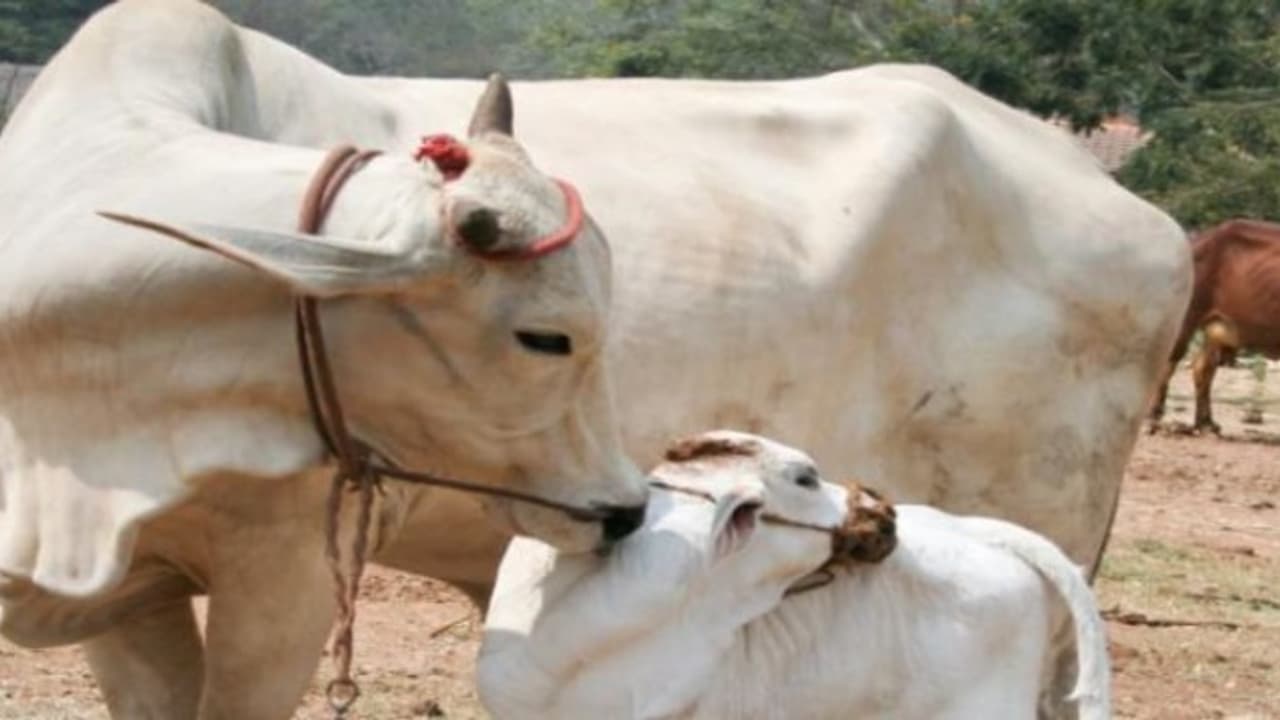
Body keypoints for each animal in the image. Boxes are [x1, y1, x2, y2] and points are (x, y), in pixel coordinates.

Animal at [1148, 219, 1280, 434]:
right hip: (1187, 317)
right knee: (1168, 364)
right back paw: (1154, 418)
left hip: (1214, 328)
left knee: (1203, 369)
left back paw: (1206, 423)